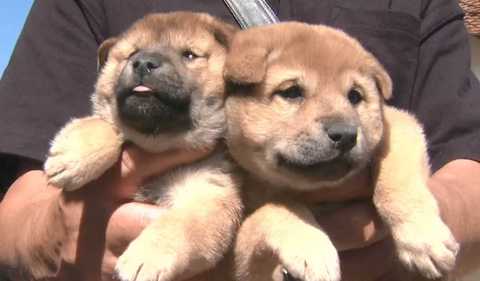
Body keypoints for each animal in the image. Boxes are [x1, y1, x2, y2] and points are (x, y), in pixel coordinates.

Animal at [43, 12, 242, 280]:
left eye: (189, 55)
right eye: (131, 54)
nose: (144, 62)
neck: (159, 142)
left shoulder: (210, 195)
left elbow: (178, 226)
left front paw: (145, 258)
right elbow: (105, 124)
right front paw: (73, 155)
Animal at [223, 22, 460, 280]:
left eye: (354, 96)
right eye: (292, 92)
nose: (346, 135)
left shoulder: (398, 125)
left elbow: (397, 181)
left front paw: (423, 238)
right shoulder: (236, 263)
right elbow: (275, 209)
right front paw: (312, 249)